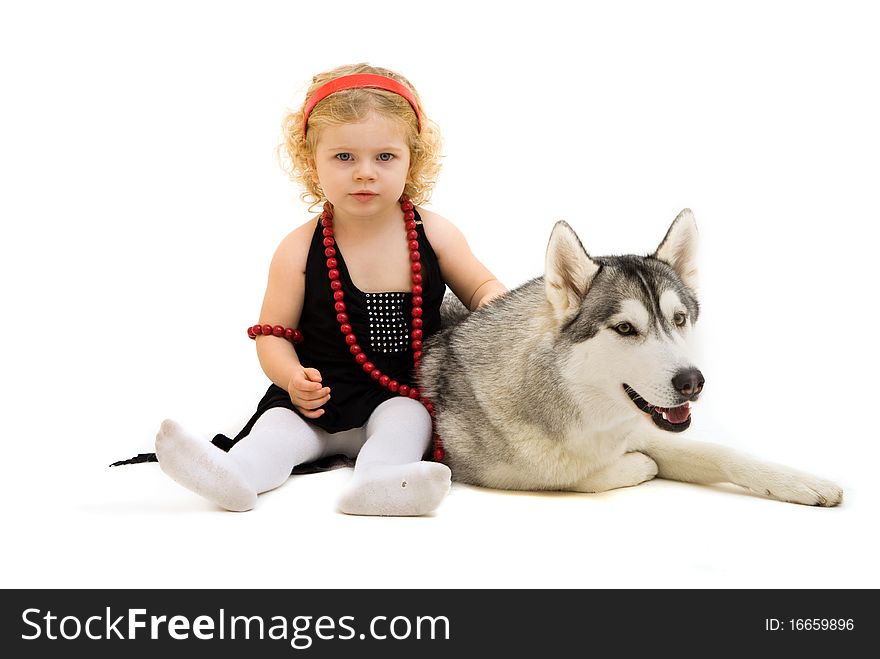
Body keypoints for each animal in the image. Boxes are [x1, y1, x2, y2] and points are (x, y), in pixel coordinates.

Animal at [420, 209, 844, 508]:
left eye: (679, 319)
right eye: (625, 328)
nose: (691, 381)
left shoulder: (648, 426)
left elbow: (721, 452)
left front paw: (803, 482)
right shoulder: (501, 471)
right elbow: (575, 473)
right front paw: (640, 465)